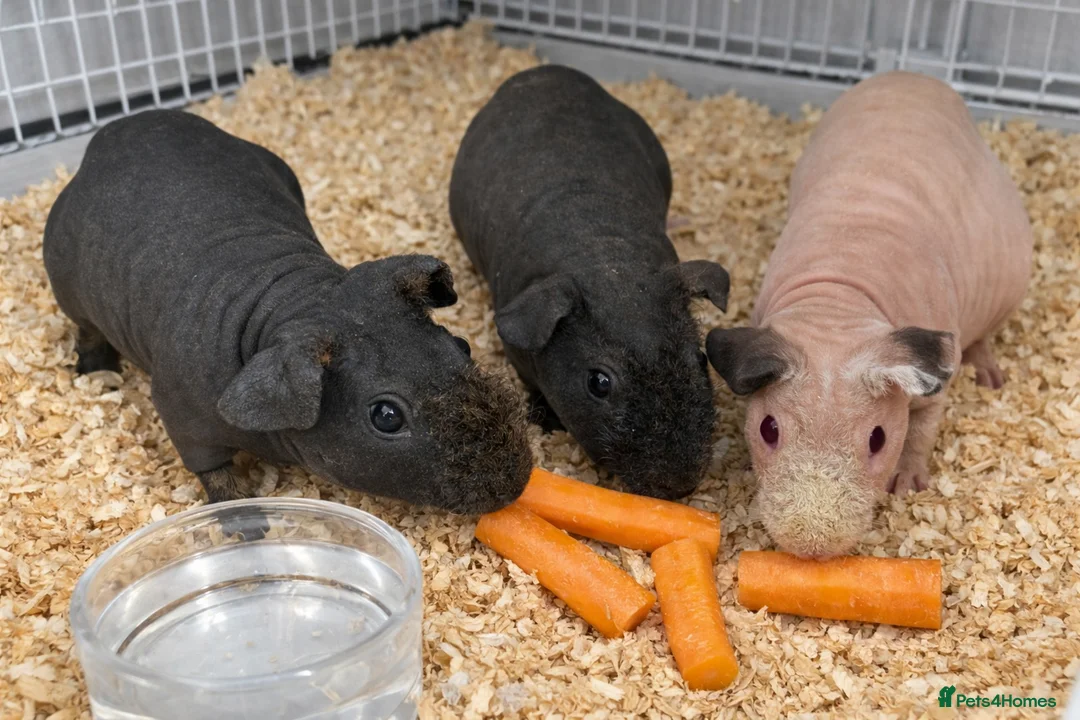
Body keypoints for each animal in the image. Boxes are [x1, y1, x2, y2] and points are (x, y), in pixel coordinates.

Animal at [43, 109, 532, 516]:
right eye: (386, 416)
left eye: (461, 346)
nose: (516, 483)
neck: (293, 299)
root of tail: (119, 127)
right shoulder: (182, 418)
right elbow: (216, 477)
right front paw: (248, 524)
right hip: (71, 295)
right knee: (87, 332)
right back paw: (95, 373)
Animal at [706, 72, 1032, 557]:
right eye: (768, 429)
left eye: (878, 439)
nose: (812, 545)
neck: (840, 303)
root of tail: (916, 76)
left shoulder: (933, 390)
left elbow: (921, 432)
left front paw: (909, 485)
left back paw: (991, 377)